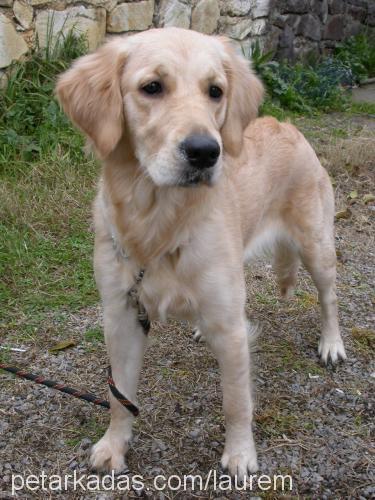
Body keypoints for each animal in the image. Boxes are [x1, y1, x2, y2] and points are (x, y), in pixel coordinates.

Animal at [57, 26, 348, 476]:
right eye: (152, 87)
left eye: (215, 91)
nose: (205, 152)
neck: (160, 222)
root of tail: (288, 126)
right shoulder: (122, 315)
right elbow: (119, 396)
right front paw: (114, 445)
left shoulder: (231, 329)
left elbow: (237, 401)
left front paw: (241, 454)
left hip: (316, 247)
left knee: (328, 297)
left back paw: (332, 344)